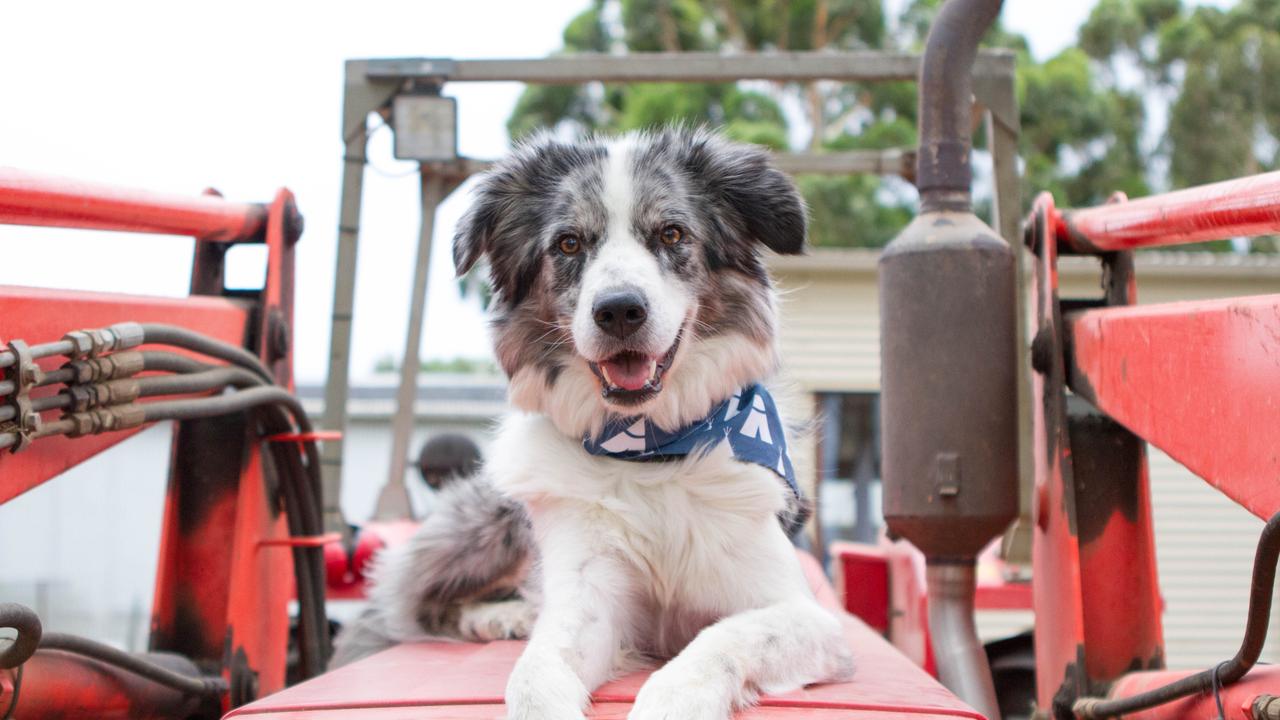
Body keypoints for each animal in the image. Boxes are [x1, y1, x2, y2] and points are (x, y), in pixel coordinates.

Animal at [332, 128, 849, 717]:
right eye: (568, 244)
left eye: (672, 233)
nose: (619, 310)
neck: (653, 449)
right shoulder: (589, 597)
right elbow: (534, 671)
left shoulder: (807, 616)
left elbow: (719, 638)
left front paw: (674, 698)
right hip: (488, 525)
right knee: (421, 608)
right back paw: (504, 614)